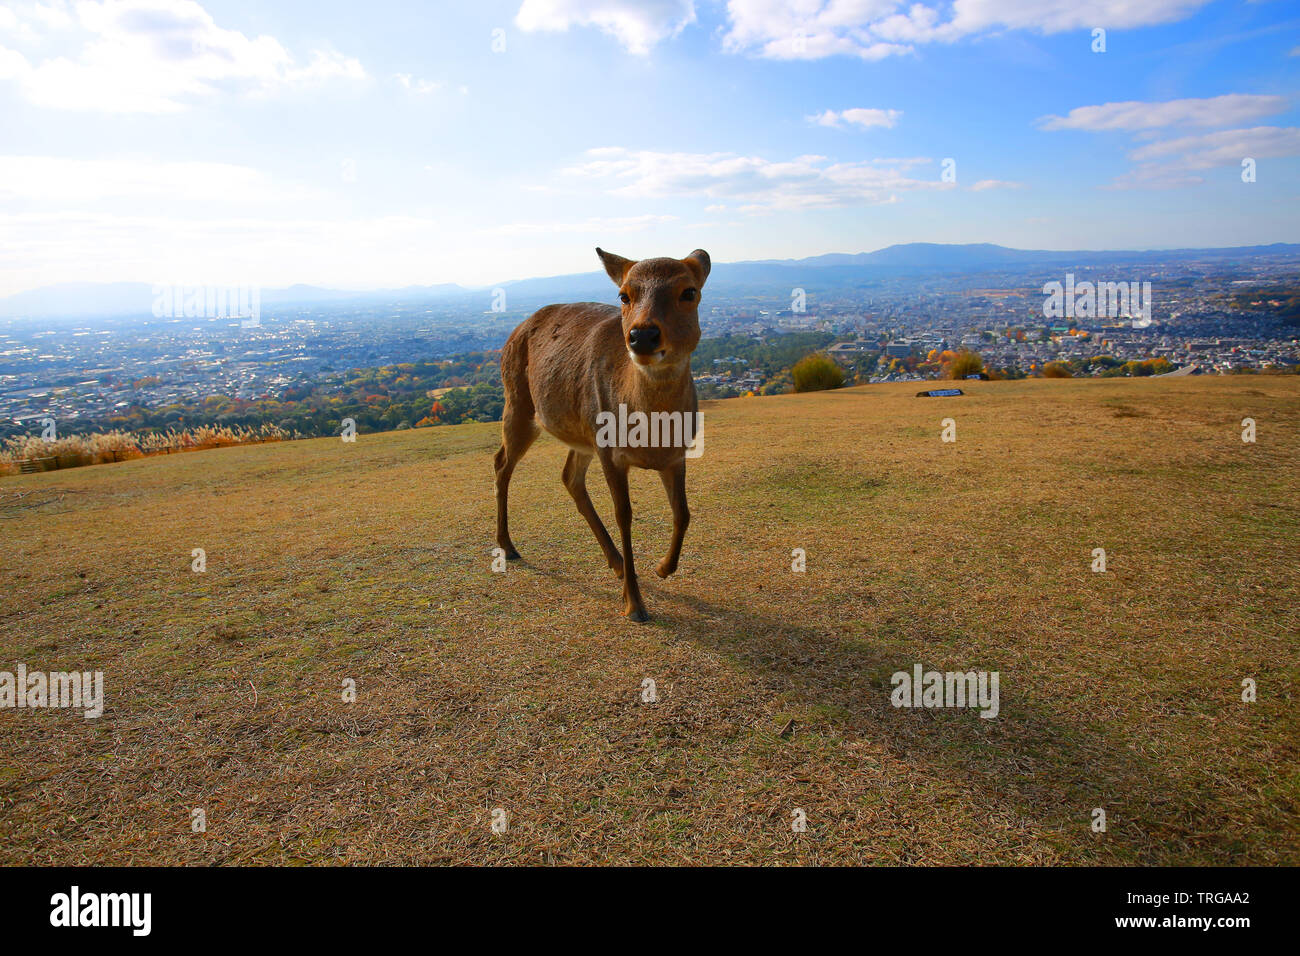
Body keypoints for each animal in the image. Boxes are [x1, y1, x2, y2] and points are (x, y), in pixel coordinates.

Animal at [491, 248, 712, 621]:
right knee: (501, 462)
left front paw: (662, 568)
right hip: (518, 401)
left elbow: (683, 512)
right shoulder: (610, 450)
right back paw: (507, 546)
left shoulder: (677, 454)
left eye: (689, 291)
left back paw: (618, 563)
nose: (642, 336)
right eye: (624, 295)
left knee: (568, 476)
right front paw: (634, 605)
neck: (651, 434)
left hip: (581, 434)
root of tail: (516, 330)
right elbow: (624, 515)